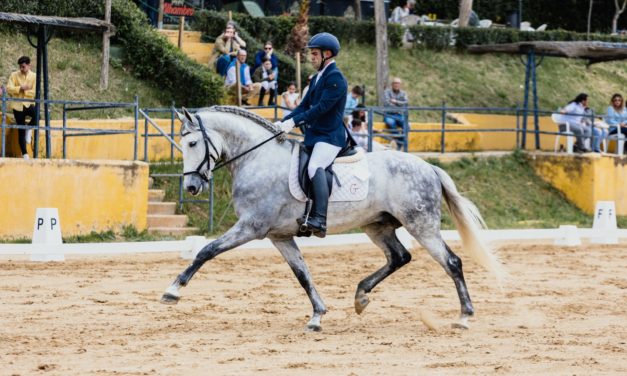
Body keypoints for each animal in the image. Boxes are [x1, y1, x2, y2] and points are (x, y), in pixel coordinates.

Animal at [162, 106, 506, 332]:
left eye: (192, 143)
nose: (192, 187)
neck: (257, 157)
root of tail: (429, 167)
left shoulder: (251, 227)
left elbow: (206, 251)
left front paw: (173, 290)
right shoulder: (279, 235)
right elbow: (302, 273)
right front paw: (317, 315)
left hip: (421, 224)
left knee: (451, 262)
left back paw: (464, 317)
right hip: (377, 225)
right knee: (399, 257)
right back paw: (361, 296)